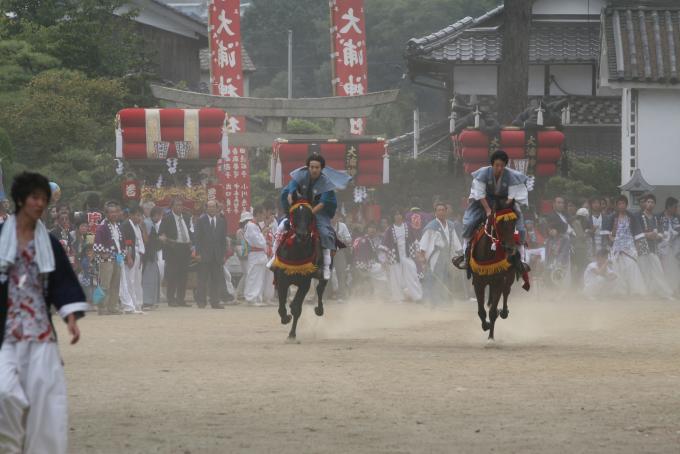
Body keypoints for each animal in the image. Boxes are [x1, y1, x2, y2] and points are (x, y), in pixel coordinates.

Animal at [274, 197, 332, 338]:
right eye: (294, 214)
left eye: (309, 215)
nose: (302, 235)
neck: (296, 253)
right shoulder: (282, 280)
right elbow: (282, 306)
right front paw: (285, 318)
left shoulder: (304, 283)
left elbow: (296, 308)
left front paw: (292, 334)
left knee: (320, 288)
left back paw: (319, 309)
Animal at [468, 199, 520, 340]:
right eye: (500, 223)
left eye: (514, 221)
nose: (510, 249)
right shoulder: (478, 283)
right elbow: (481, 311)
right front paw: (485, 325)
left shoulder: (498, 282)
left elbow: (492, 312)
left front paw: (490, 337)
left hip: (509, 277)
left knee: (506, 292)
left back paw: (503, 312)